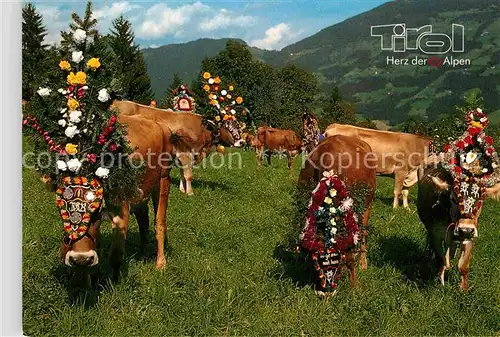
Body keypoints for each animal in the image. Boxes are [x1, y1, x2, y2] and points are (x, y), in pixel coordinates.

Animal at [296, 134, 376, 294]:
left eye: (335, 261)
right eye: (316, 263)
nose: (324, 292)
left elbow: (350, 255)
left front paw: (355, 287)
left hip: (367, 204)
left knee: (363, 232)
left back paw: (363, 262)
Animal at [418, 159, 500, 290]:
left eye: (481, 200)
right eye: (453, 198)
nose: (465, 230)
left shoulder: (471, 235)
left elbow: (463, 265)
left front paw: (463, 288)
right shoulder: (435, 233)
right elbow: (441, 260)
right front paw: (440, 283)